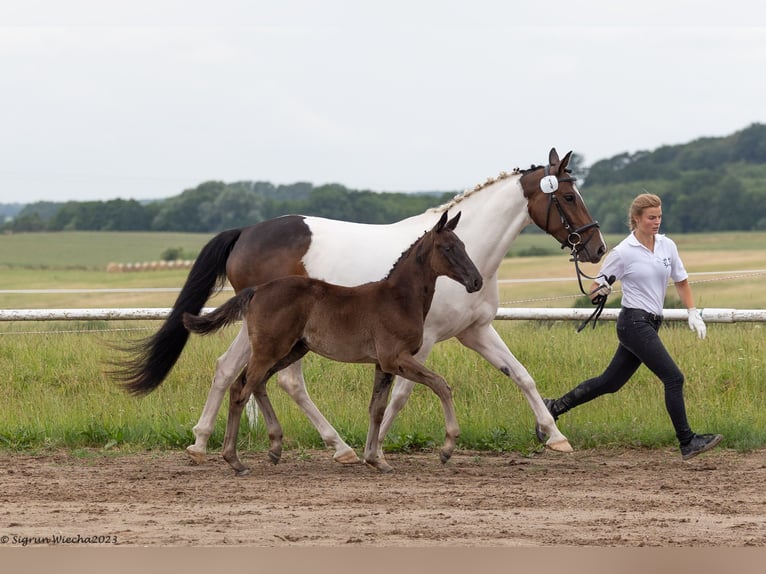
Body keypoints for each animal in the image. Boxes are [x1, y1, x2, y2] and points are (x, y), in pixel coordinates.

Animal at [184, 213, 484, 476]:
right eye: (448, 248)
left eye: (464, 245)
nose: (476, 281)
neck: (399, 298)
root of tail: (257, 290)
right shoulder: (395, 357)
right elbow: (440, 384)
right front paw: (447, 448)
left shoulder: (382, 364)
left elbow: (376, 409)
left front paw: (376, 460)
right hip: (271, 349)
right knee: (240, 389)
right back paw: (234, 460)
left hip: (291, 350)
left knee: (256, 384)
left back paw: (275, 447)